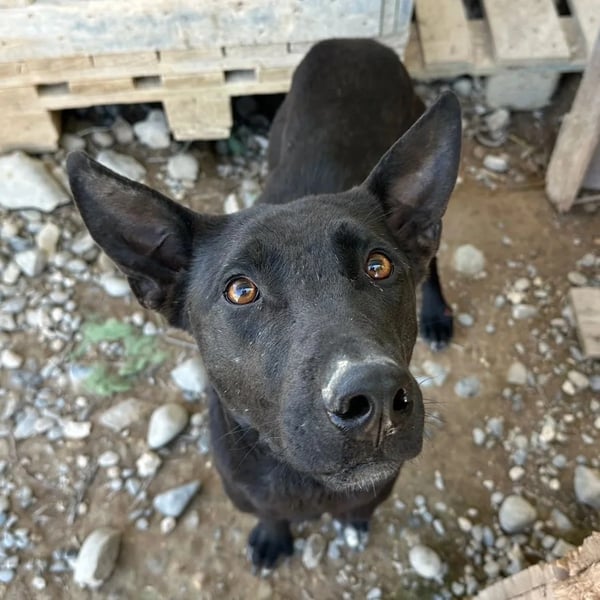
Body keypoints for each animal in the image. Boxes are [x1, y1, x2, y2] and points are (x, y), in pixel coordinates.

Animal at [66, 38, 461, 570]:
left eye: (379, 266)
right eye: (241, 291)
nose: (376, 395)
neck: (301, 478)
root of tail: (354, 40)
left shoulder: (381, 482)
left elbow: (361, 505)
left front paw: (354, 521)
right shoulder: (245, 489)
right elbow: (270, 513)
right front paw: (273, 537)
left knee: (434, 260)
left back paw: (439, 314)